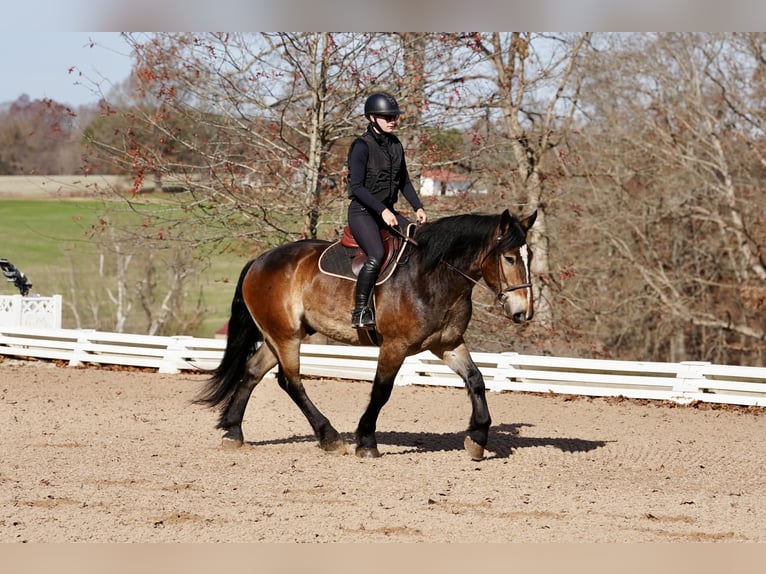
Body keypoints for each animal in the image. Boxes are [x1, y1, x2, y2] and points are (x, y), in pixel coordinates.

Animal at [196, 208, 537, 460]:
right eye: (509, 258)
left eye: (529, 256)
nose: (524, 312)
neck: (433, 275)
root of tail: (260, 261)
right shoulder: (395, 346)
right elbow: (381, 391)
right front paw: (367, 441)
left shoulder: (448, 344)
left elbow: (476, 380)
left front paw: (478, 438)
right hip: (285, 336)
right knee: (290, 381)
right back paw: (329, 437)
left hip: (276, 335)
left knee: (253, 372)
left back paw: (234, 432)